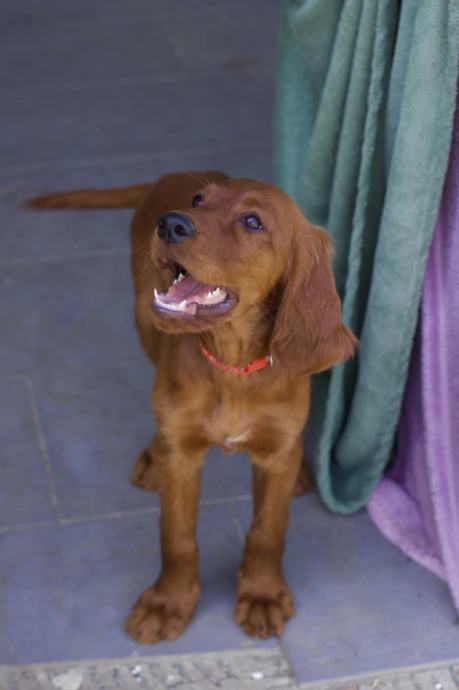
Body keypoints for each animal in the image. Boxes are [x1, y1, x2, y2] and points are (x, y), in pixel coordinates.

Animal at [27, 171, 356, 642]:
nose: (170, 223)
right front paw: (168, 603)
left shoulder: (276, 451)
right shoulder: (182, 456)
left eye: (253, 221)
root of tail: (170, 175)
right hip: (144, 320)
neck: (233, 362)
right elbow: (176, 536)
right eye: (199, 201)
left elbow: (268, 530)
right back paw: (152, 456)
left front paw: (262, 594)